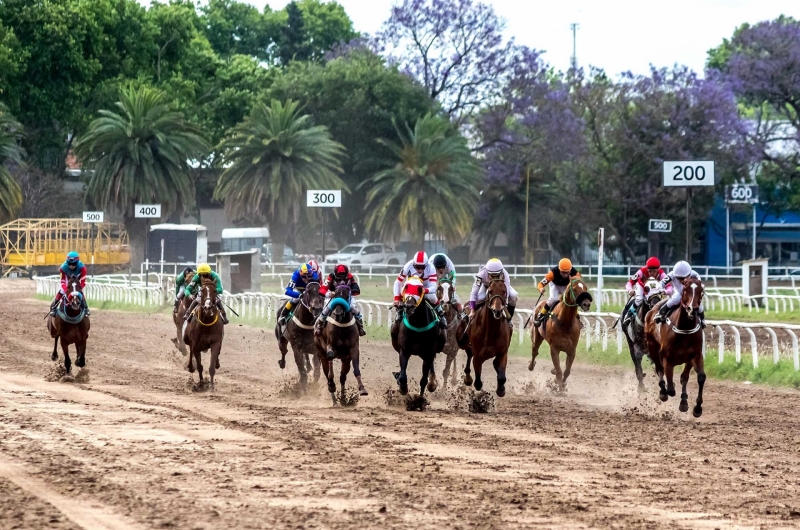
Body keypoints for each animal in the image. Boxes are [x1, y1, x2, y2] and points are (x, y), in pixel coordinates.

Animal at [644, 276, 708, 416]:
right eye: (685, 290)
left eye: (701, 291)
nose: (692, 309)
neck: (684, 329)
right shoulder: (667, 357)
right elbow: (671, 388)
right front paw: (667, 389)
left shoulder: (695, 356)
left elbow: (697, 377)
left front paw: (695, 407)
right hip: (652, 346)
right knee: (659, 369)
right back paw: (663, 392)